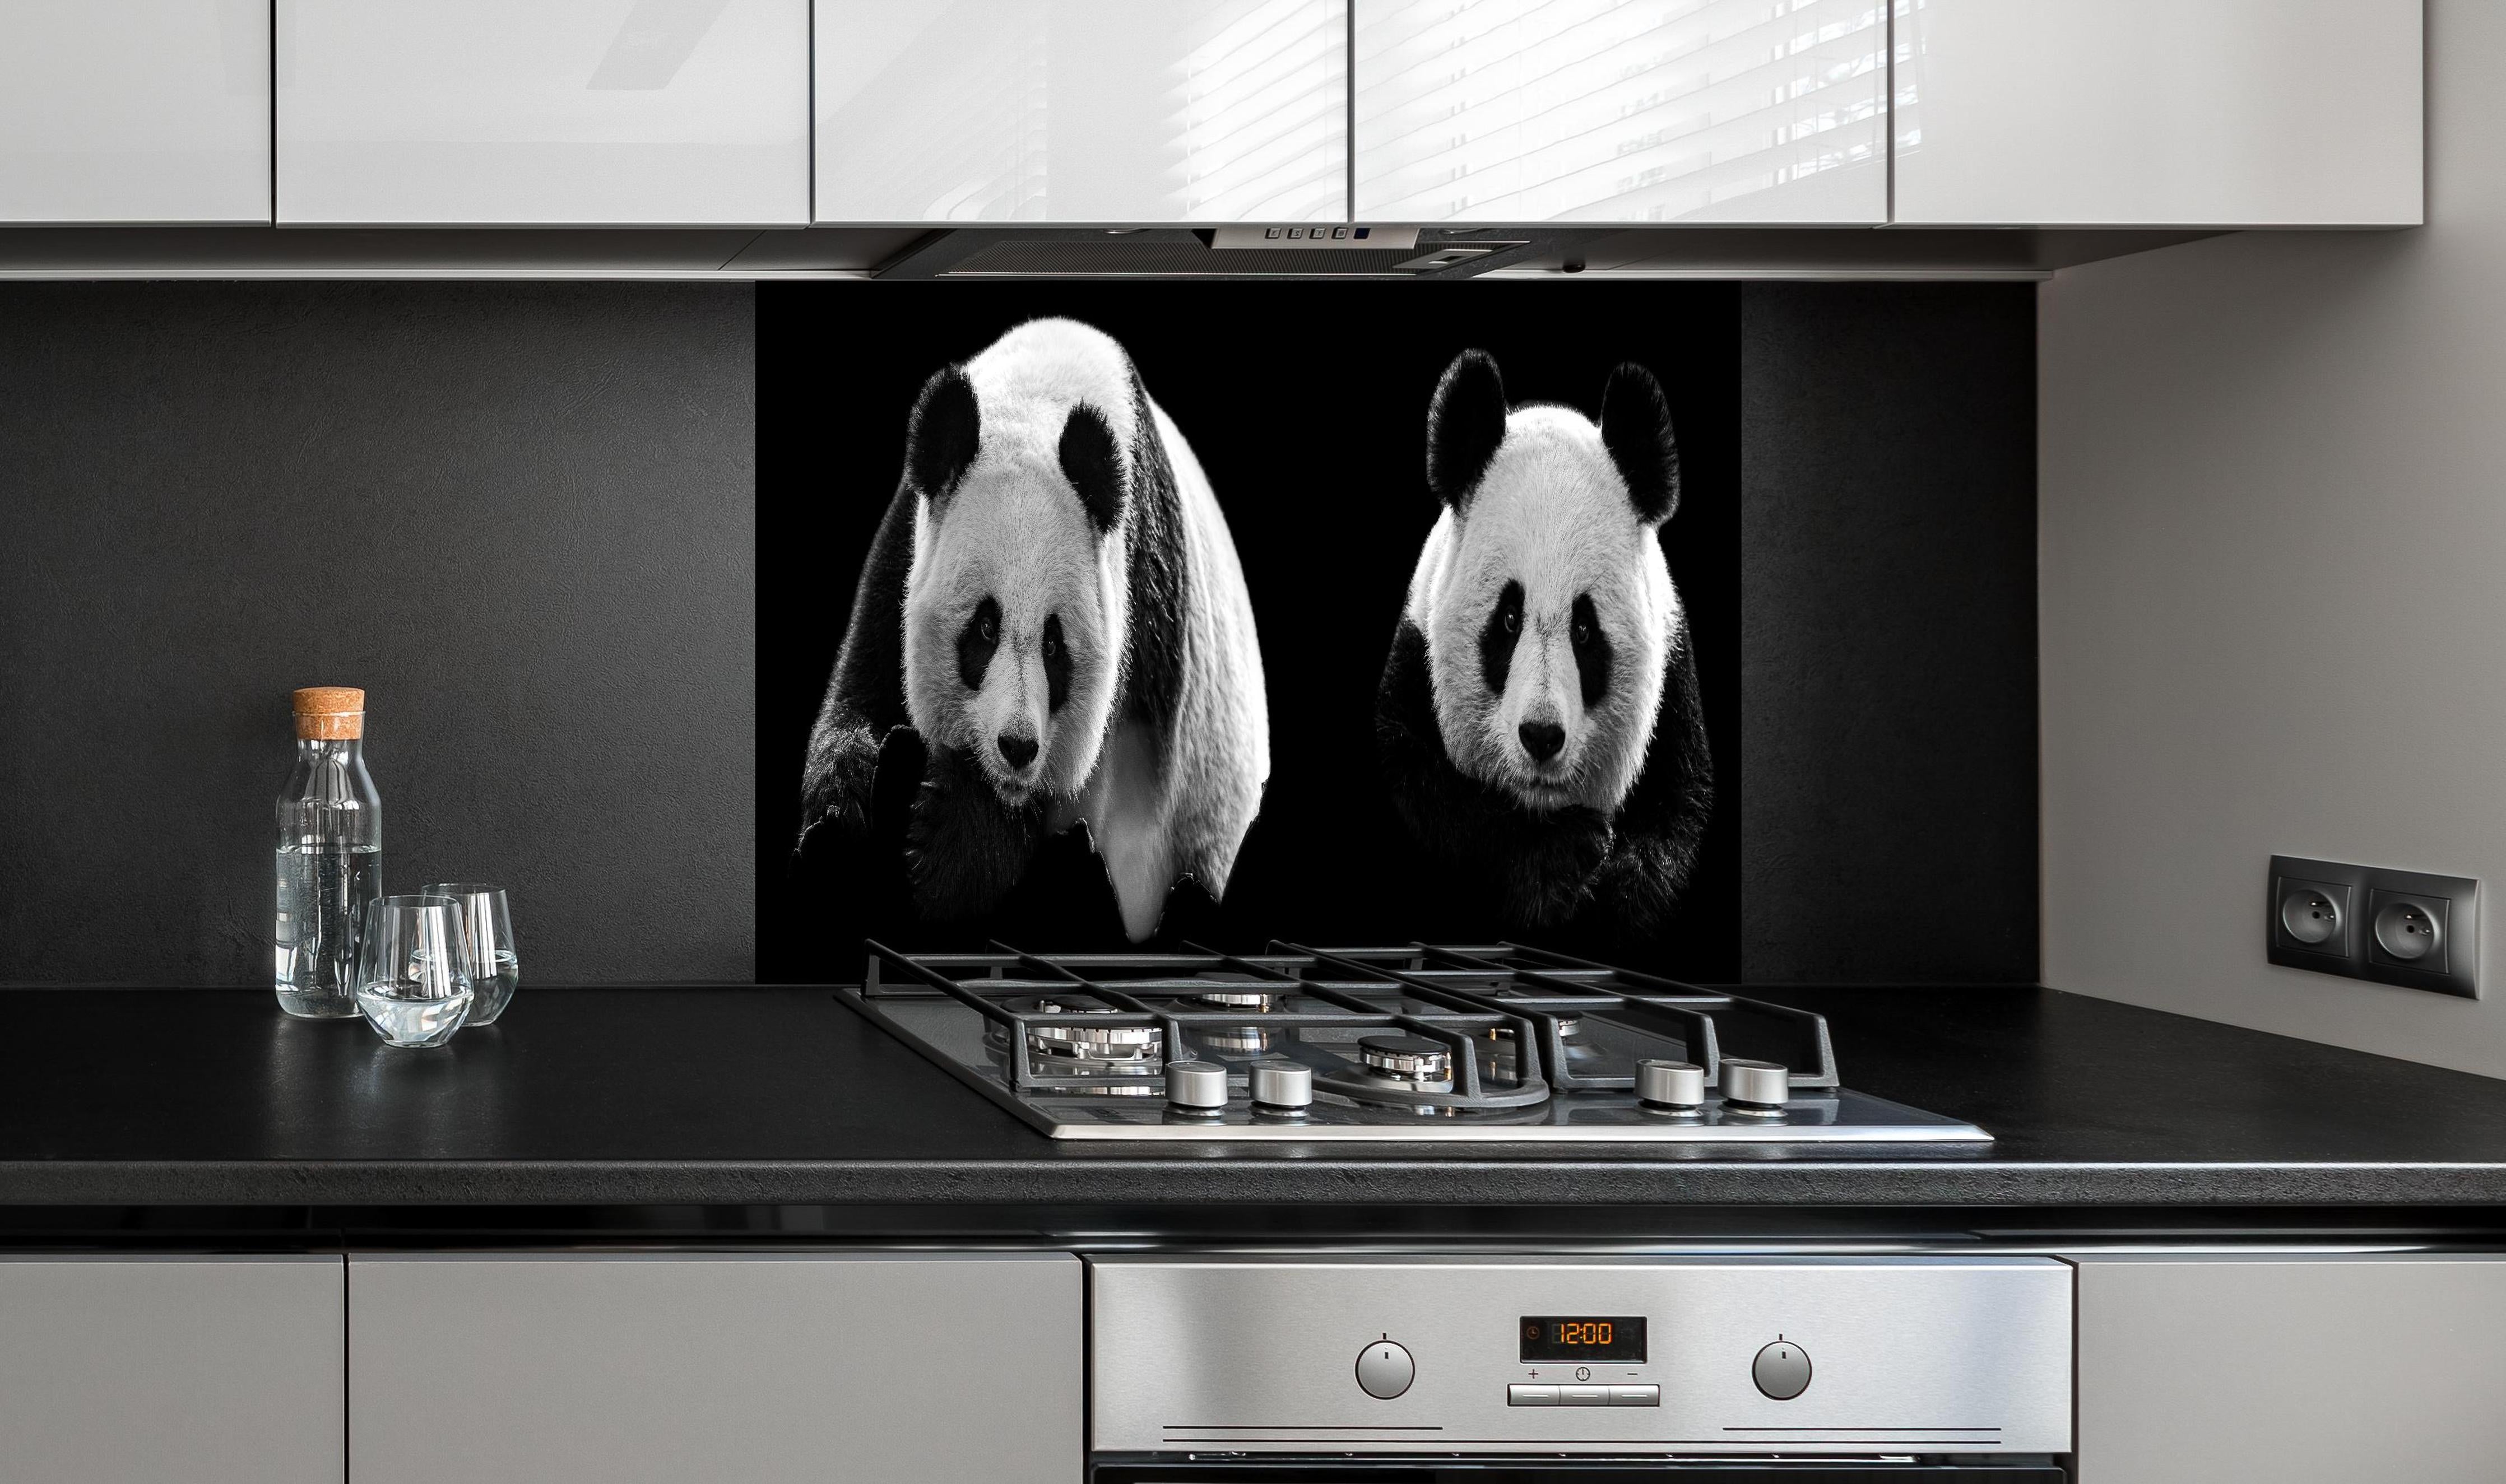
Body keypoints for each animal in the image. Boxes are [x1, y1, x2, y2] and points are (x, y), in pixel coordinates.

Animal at [798, 318, 1269, 942]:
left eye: (1053, 645)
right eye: (984, 627)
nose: (1017, 747)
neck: (1043, 399)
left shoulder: (1140, 640)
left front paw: (948, 834)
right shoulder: (905, 548)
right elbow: (862, 693)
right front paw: (846, 814)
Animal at [1375, 348, 1711, 932]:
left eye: (1585, 629)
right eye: (1509, 619)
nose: (1541, 735)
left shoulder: (1674, 695)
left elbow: (1678, 815)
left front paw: (1617, 887)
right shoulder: (1415, 661)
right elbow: (1426, 792)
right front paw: (1558, 860)